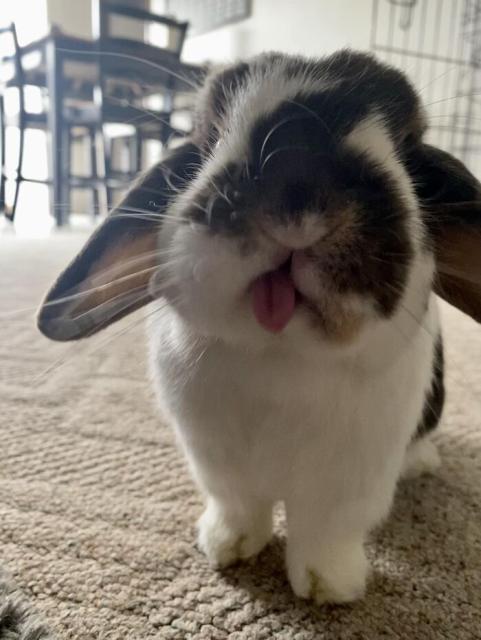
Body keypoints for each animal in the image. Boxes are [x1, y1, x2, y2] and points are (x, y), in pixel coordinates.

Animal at [38, 50, 481, 605]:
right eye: (208, 134)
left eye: (408, 144)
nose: (297, 165)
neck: (281, 354)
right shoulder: (216, 460)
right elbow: (238, 505)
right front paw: (225, 548)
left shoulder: (352, 476)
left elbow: (325, 531)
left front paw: (328, 587)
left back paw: (420, 462)